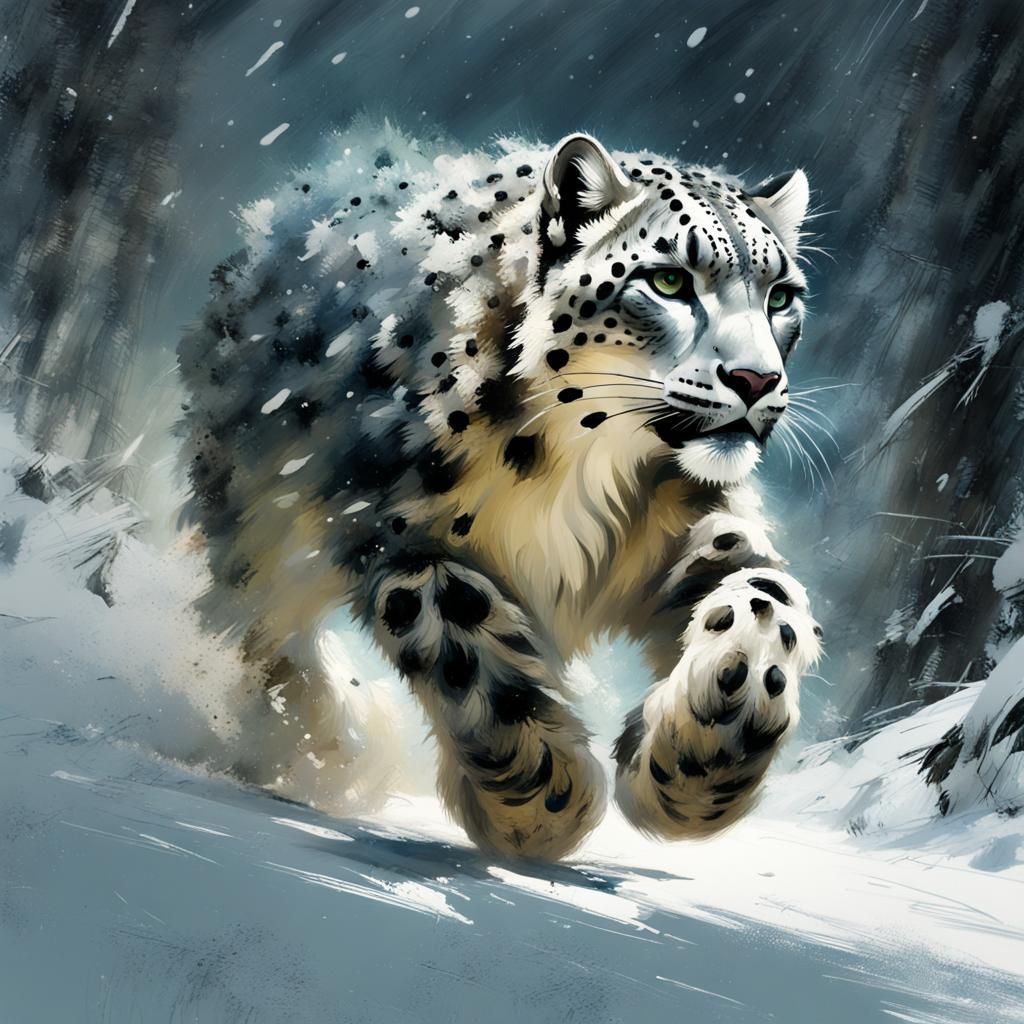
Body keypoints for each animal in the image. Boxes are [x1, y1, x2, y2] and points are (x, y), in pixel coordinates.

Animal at [178, 120, 822, 860]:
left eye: (781, 296)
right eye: (668, 280)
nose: (757, 380)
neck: (588, 465)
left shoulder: (704, 523)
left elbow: (764, 599)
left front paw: (699, 762)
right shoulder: (394, 532)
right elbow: (459, 627)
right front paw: (546, 800)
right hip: (258, 530)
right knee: (259, 632)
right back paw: (309, 746)